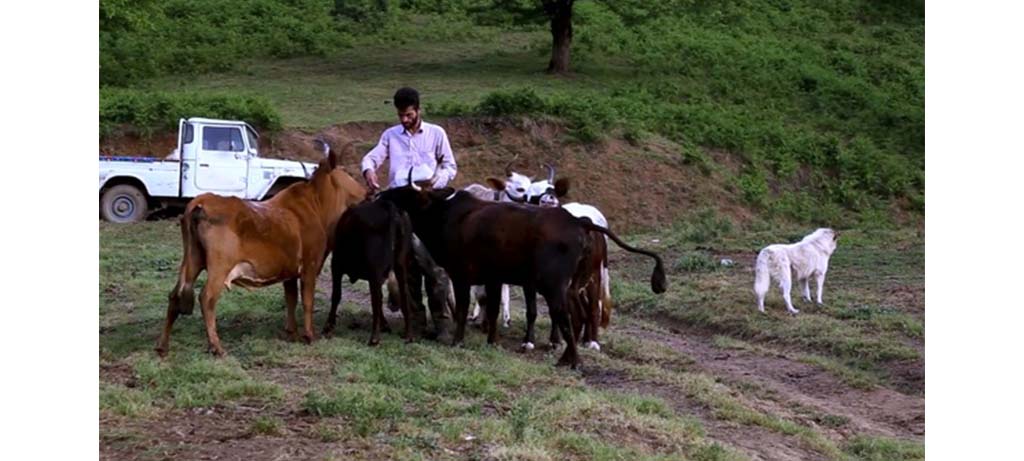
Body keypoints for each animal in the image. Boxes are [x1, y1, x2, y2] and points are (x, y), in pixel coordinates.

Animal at [157, 140, 366, 356]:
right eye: (346, 173)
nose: (366, 191)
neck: (316, 206)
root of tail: (203, 200)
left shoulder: (290, 271)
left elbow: (291, 299)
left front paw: (292, 333)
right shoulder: (310, 264)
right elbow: (307, 301)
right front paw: (309, 335)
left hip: (192, 259)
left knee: (174, 296)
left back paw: (163, 346)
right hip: (219, 265)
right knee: (207, 298)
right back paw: (216, 347)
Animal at [376, 169, 663, 366]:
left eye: (405, 191)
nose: (380, 194)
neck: (451, 215)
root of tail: (579, 221)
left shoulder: (462, 275)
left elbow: (462, 308)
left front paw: (458, 341)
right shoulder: (493, 278)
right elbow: (492, 309)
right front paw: (492, 341)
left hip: (557, 286)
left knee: (567, 316)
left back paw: (571, 360)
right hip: (572, 285)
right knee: (578, 314)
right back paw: (567, 357)